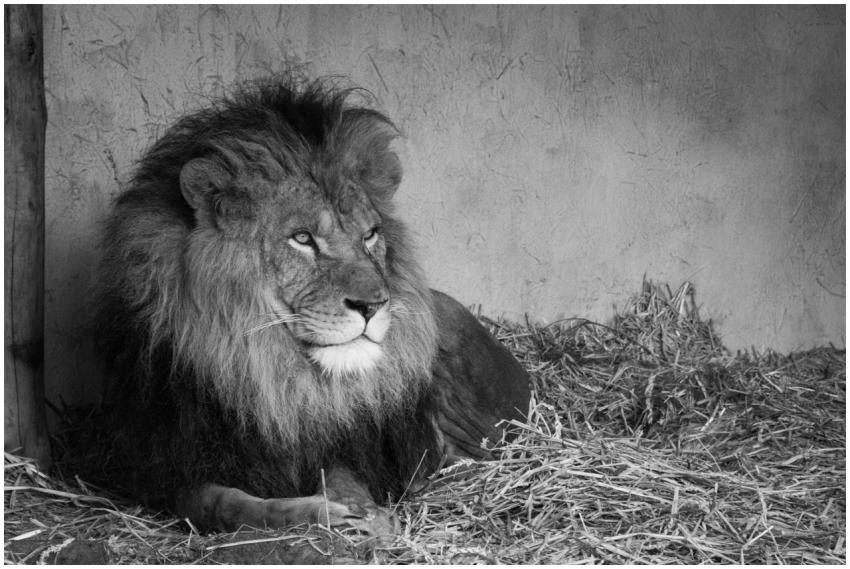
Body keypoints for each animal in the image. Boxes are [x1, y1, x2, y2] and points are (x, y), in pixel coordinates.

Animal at [92, 77, 530, 538]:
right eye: (302, 238)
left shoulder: (344, 445)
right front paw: (314, 513)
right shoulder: (167, 467)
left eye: (370, 234)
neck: (269, 375)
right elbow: (222, 504)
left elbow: (343, 475)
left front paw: (365, 514)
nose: (373, 304)